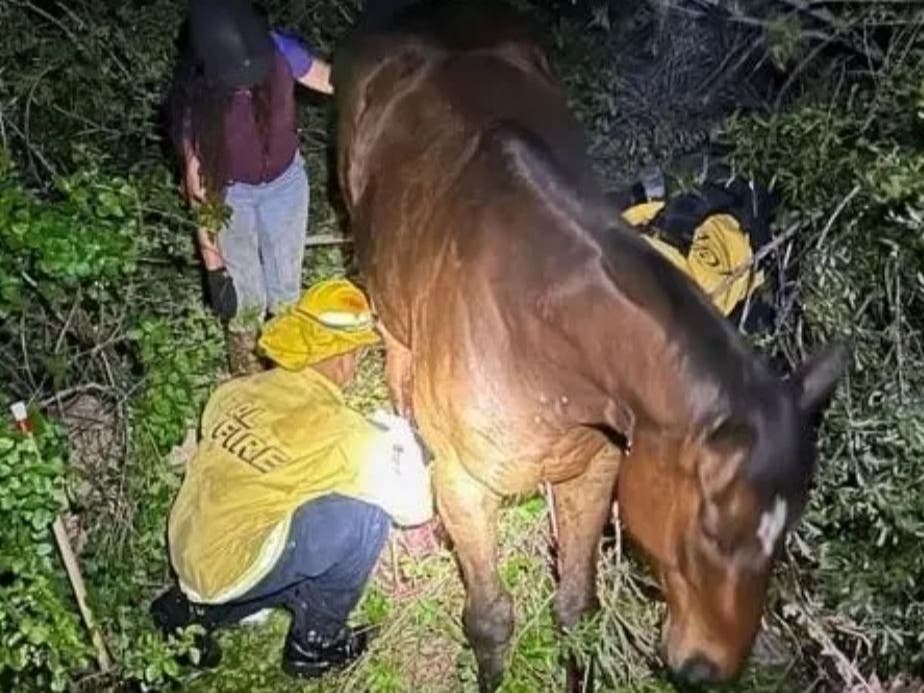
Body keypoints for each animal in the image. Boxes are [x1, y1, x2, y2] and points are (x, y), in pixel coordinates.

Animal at [333, 2, 848, 689]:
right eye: (712, 531)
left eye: (788, 529)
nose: (709, 668)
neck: (535, 336)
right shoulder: (466, 488)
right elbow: (490, 621)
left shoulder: (596, 472)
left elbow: (577, 607)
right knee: (397, 366)